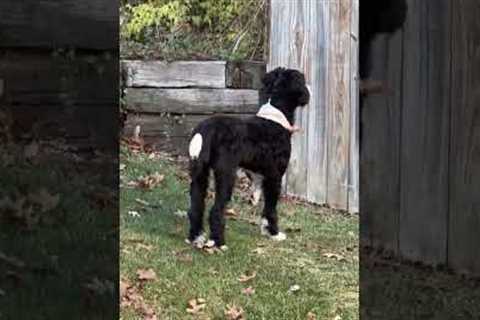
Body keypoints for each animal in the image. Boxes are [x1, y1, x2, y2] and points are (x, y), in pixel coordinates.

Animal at [184, 67, 312, 248]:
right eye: (302, 80)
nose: (309, 89)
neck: (276, 117)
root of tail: (206, 129)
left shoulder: (259, 174)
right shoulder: (275, 176)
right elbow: (271, 207)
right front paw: (273, 232)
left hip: (198, 172)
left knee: (196, 206)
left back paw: (196, 237)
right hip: (226, 175)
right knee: (216, 210)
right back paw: (219, 242)